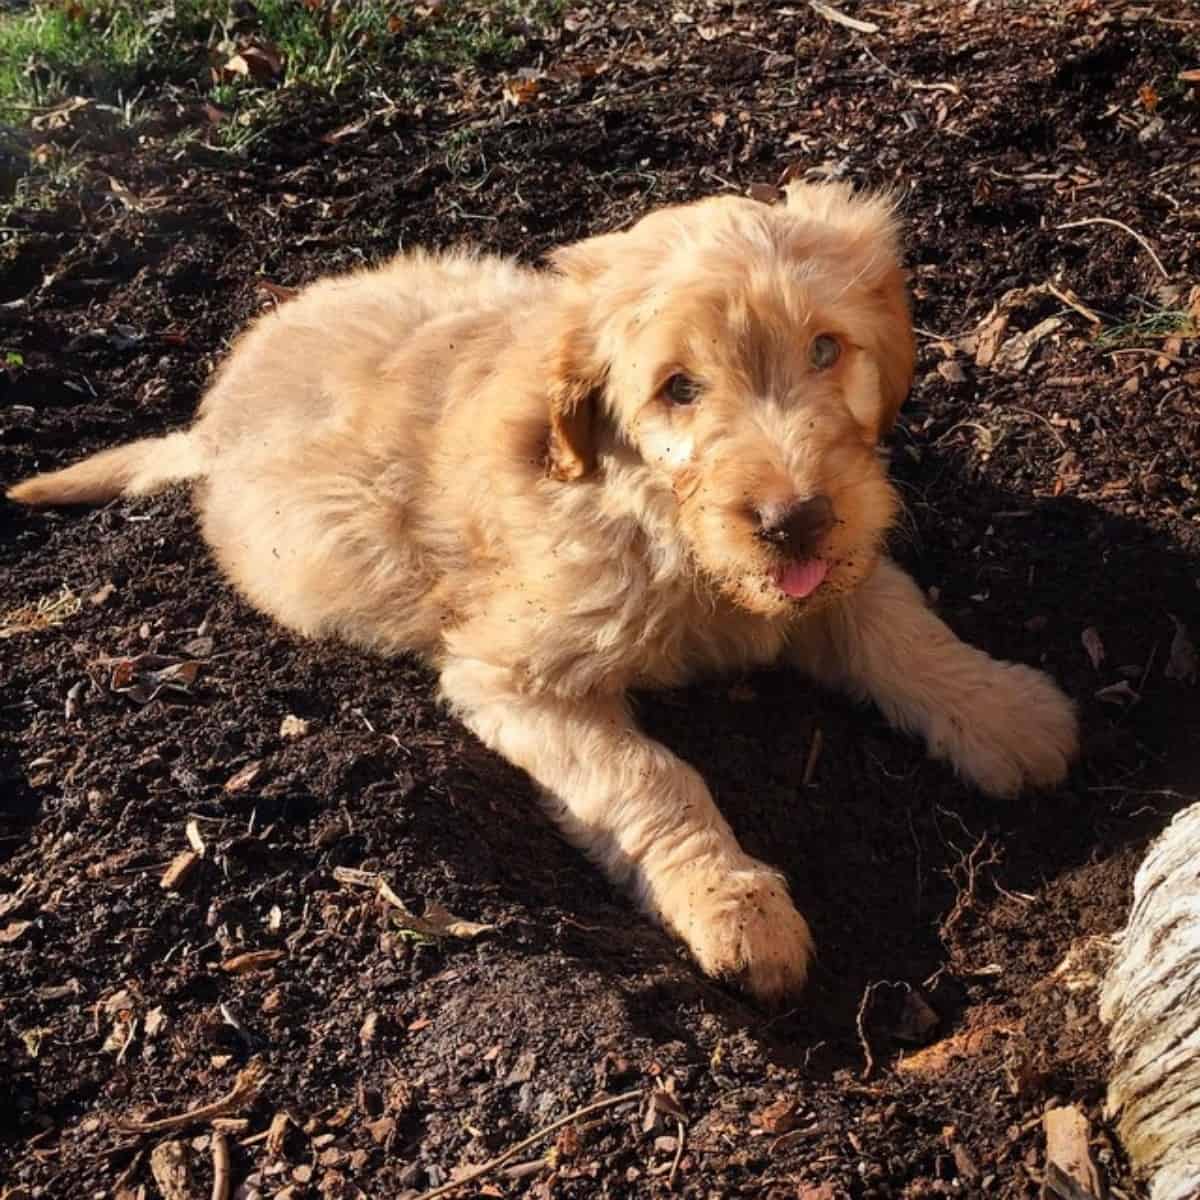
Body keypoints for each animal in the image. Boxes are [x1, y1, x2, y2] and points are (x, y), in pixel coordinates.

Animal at [9, 182, 1080, 998]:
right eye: (679, 390)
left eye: (826, 349)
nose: (795, 520)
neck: (661, 528)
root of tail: (209, 418)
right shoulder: (516, 677)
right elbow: (650, 777)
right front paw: (734, 904)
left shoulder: (834, 559)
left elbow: (898, 625)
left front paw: (1004, 709)